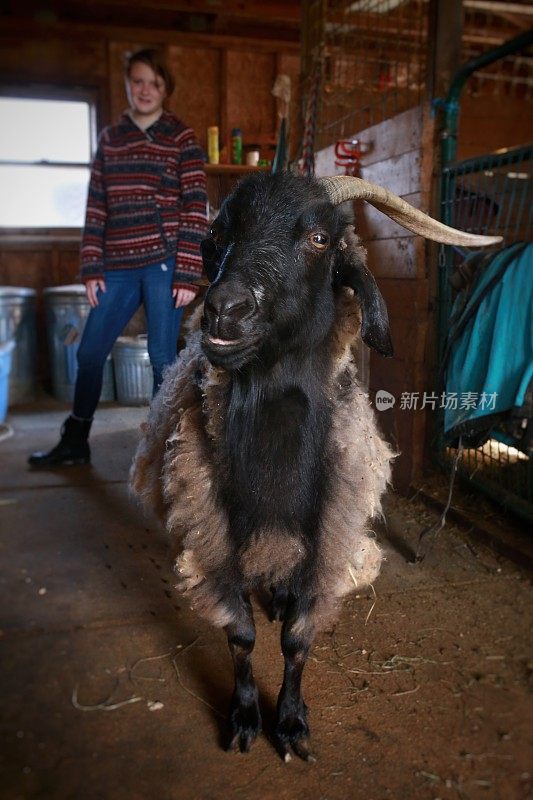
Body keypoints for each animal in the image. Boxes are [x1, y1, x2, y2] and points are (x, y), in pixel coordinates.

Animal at [130, 172, 498, 760]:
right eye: (218, 232)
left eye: (320, 239)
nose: (224, 310)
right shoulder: (215, 532)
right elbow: (241, 635)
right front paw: (244, 718)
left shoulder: (328, 534)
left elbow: (298, 640)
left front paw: (291, 724)